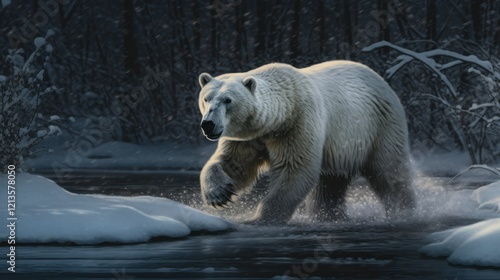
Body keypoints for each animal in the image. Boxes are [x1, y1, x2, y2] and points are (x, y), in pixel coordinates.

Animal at [197, 60, 412, 224]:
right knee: (330, 182)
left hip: (378, 127)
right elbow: (233, 163)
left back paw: (404, 210)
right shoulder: (250, 137)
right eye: (206, 98)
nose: (208, 124)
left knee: (389, 171)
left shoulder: (298, 123)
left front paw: (260, 218)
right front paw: (219, 194)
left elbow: (294, 168)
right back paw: (326, 215)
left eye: (228, 100)